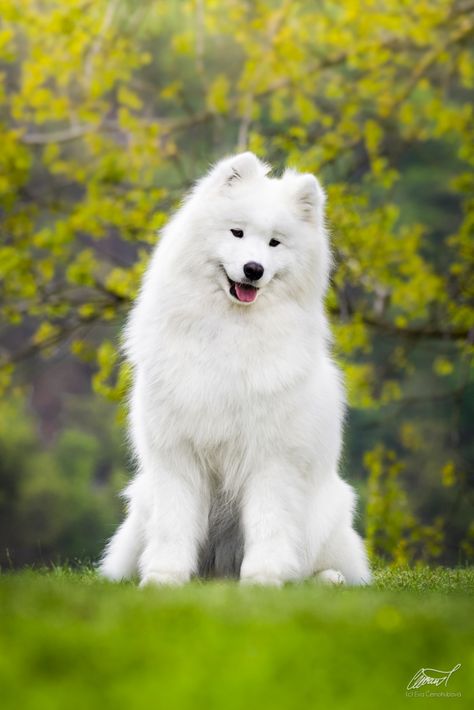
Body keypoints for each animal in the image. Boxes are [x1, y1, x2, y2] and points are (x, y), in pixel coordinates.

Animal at [100, 152, 372, 588]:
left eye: (275, 242)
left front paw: (263, 578)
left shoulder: (270, 457)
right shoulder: (177, 455)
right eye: (237, 233)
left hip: (325, 515)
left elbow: (268, 522)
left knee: (316, 564)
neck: (228, 329)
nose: (254, 268)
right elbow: (174, 523)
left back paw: (326, 578)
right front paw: (164, 577)